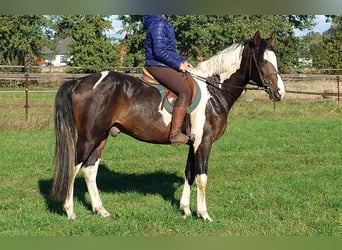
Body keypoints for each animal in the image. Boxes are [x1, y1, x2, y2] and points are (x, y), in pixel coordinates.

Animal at [50, 31, 286, 221]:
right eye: (263, 61)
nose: (280, 92)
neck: (213, 90)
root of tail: (79, 82)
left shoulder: (193, 144)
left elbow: (189, 173)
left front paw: (186, 210)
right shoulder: (204, 142)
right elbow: (202, 177)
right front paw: (204, 214)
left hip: (101, 137)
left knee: (90, 170)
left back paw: (101, 210)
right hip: (89, 137)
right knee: (74, 167)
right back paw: (70, 211)